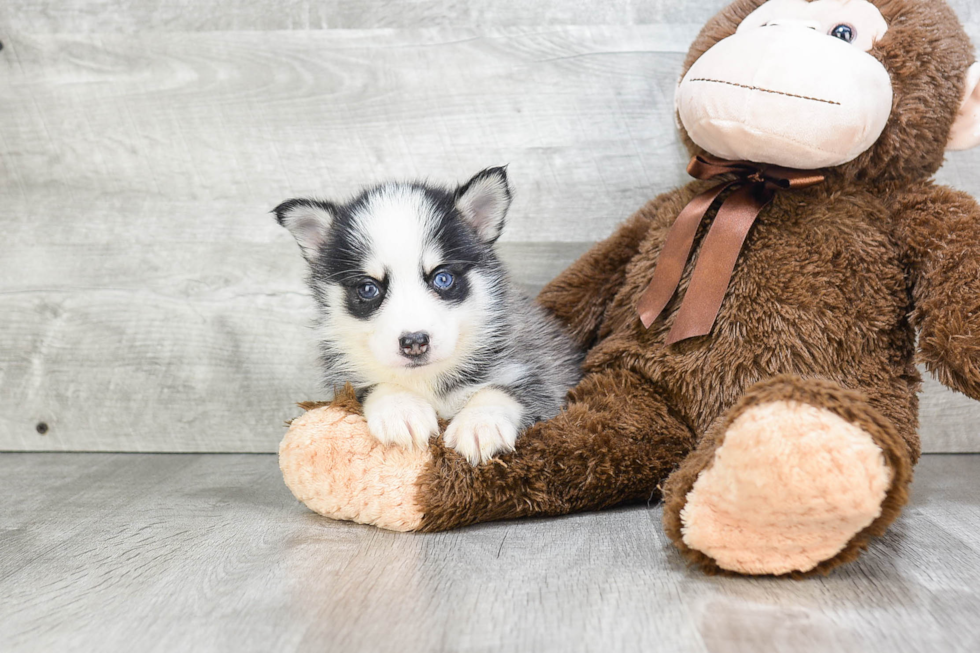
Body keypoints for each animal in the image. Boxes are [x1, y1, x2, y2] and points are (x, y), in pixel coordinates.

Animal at [274, 167, 580, 464]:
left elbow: (505, 388)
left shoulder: (543, 370)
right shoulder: (344, 383)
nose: (414, 342)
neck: (426, 378)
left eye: (442, 278)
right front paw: (400, 409)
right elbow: (373, 385)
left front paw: (480, 423)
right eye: (368, 288)